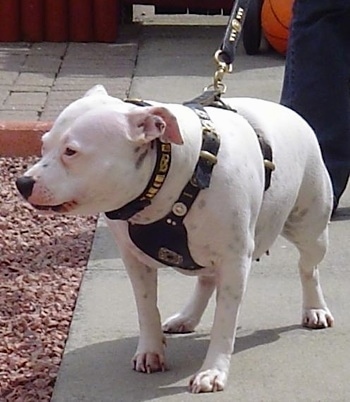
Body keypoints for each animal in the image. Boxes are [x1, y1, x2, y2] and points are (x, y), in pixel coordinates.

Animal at [15, 85, 334, 392]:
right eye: (43, 145)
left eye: (71, 152)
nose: (22, 182)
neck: (171, 175)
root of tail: (290, 112)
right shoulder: (134, 261)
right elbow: (146, 308)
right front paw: (151, 351)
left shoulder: (234, 263)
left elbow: (224, 322)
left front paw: (213, 372)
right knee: (206, 279)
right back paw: (186, 317)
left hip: (310, 231)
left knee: (308, 268)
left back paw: (315, 309)